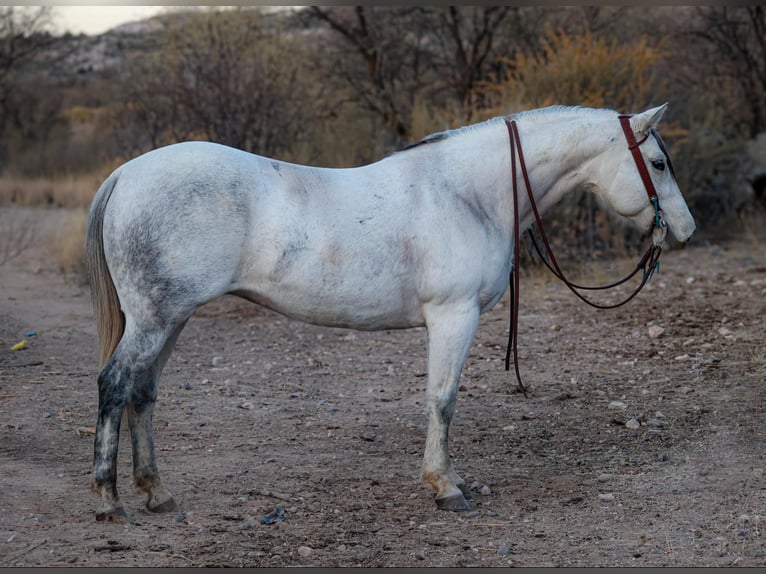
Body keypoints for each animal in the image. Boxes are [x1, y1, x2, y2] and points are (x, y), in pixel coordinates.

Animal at [85, 104, 695, 522]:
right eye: (658, 163)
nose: (686, 230)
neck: (469, 194)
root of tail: (126, 174)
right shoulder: (453, 316)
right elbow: (443, 400)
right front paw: (446, 487)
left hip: (173, 319)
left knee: (143, 392)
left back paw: (157, 494)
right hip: (155, 319)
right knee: (115, 384)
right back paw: (109, 500)